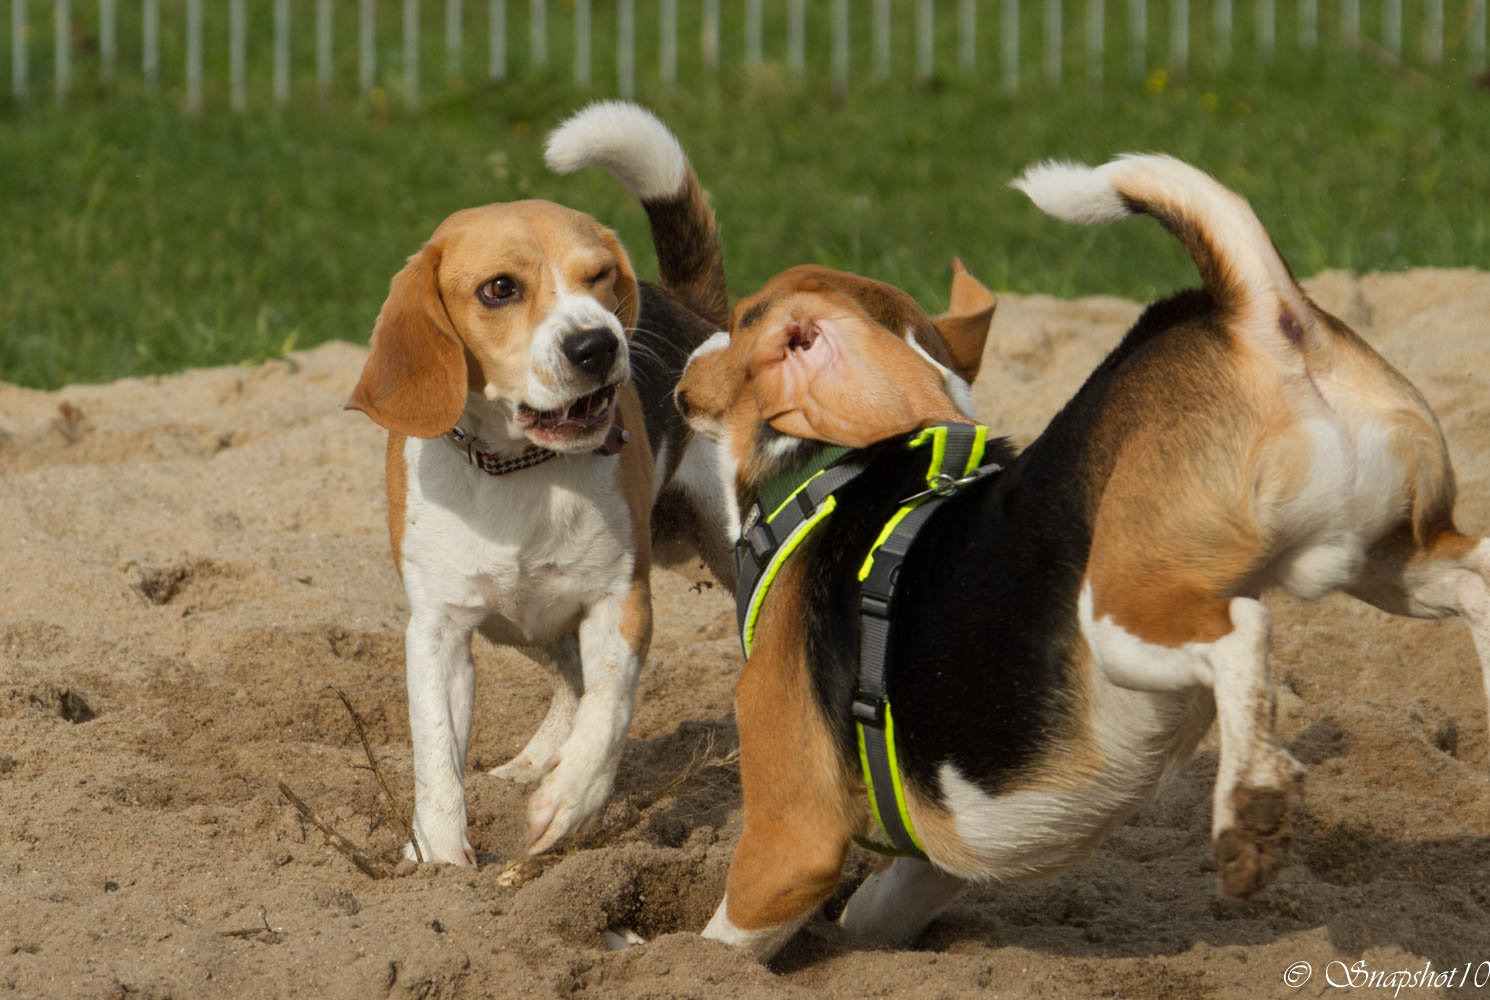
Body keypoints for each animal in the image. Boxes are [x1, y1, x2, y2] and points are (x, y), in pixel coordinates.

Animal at [339, 103, 733, 870]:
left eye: (600, 275)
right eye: (500, 289)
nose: (599, 346)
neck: (522, 469)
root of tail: (690, 308)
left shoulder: (619, 601)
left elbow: (608, 715)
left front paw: (566, 804)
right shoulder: (438, 628)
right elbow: (437, 754)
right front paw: (439, 858)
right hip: (522, 620)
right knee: (566, 681)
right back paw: (528, 763)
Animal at [679, 156, 1490, 959]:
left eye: (742, 320)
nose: (689, 351)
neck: (839, 471)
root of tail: (1252, 313)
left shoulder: (794, 841)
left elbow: (718, 946)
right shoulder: (936, 857)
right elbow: (870, 915)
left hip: (1122, 613)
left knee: (1244, 631)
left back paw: (1249, 807)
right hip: (1383, 558)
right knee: (1474, 577)